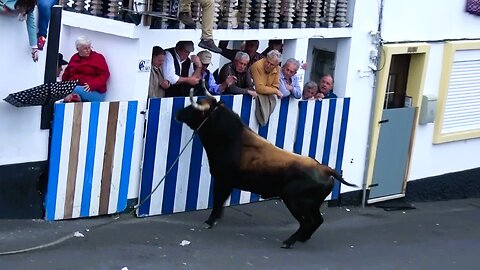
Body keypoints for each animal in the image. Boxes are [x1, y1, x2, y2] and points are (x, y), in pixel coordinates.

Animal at [176, 95, 356, 249]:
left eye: (195, 108)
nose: (178, 113)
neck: (231, 139)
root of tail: (325, 169)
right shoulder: (227, 183)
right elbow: (221, 202)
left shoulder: (223, 180)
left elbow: (218, 201)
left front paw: (209, 221)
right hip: (313, 204)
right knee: (318, 220)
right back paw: (303, 238)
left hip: (295, 201)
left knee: (308, 222)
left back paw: (288, 242)